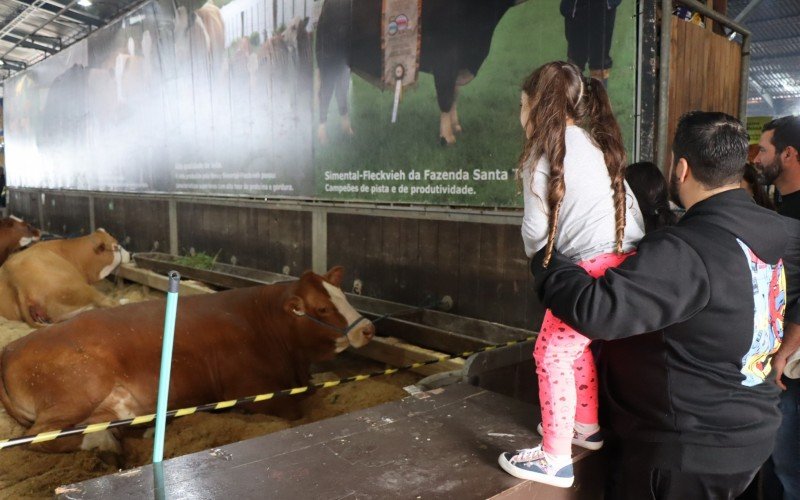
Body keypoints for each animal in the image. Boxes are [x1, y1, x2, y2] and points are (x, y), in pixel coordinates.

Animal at [0, 268, 376, 456]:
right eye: (322, 308)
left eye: (345, 296)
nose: (368, 328)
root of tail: (11, 349)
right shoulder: (253, 391)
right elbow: (296, 410)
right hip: (78, 391)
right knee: (41, 436)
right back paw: (103, 443)